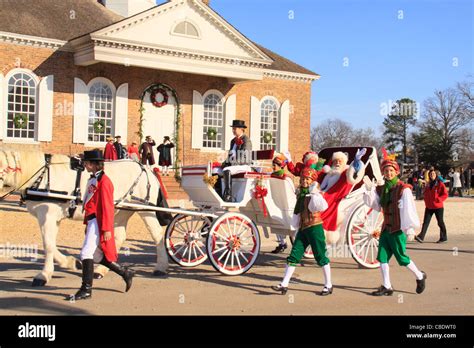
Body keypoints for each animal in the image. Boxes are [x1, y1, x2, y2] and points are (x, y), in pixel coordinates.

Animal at [0, 148, 169, 286]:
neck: (43, 176)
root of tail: (145, 168)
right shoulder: (52, 218)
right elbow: (51, 244)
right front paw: (72, 262)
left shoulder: (47, 215)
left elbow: (48, 244)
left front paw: (44, 275)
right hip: (121, 211)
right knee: (119, 237)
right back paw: (101, 269)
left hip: (146, 210)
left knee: (157, 235)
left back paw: (161, 267)